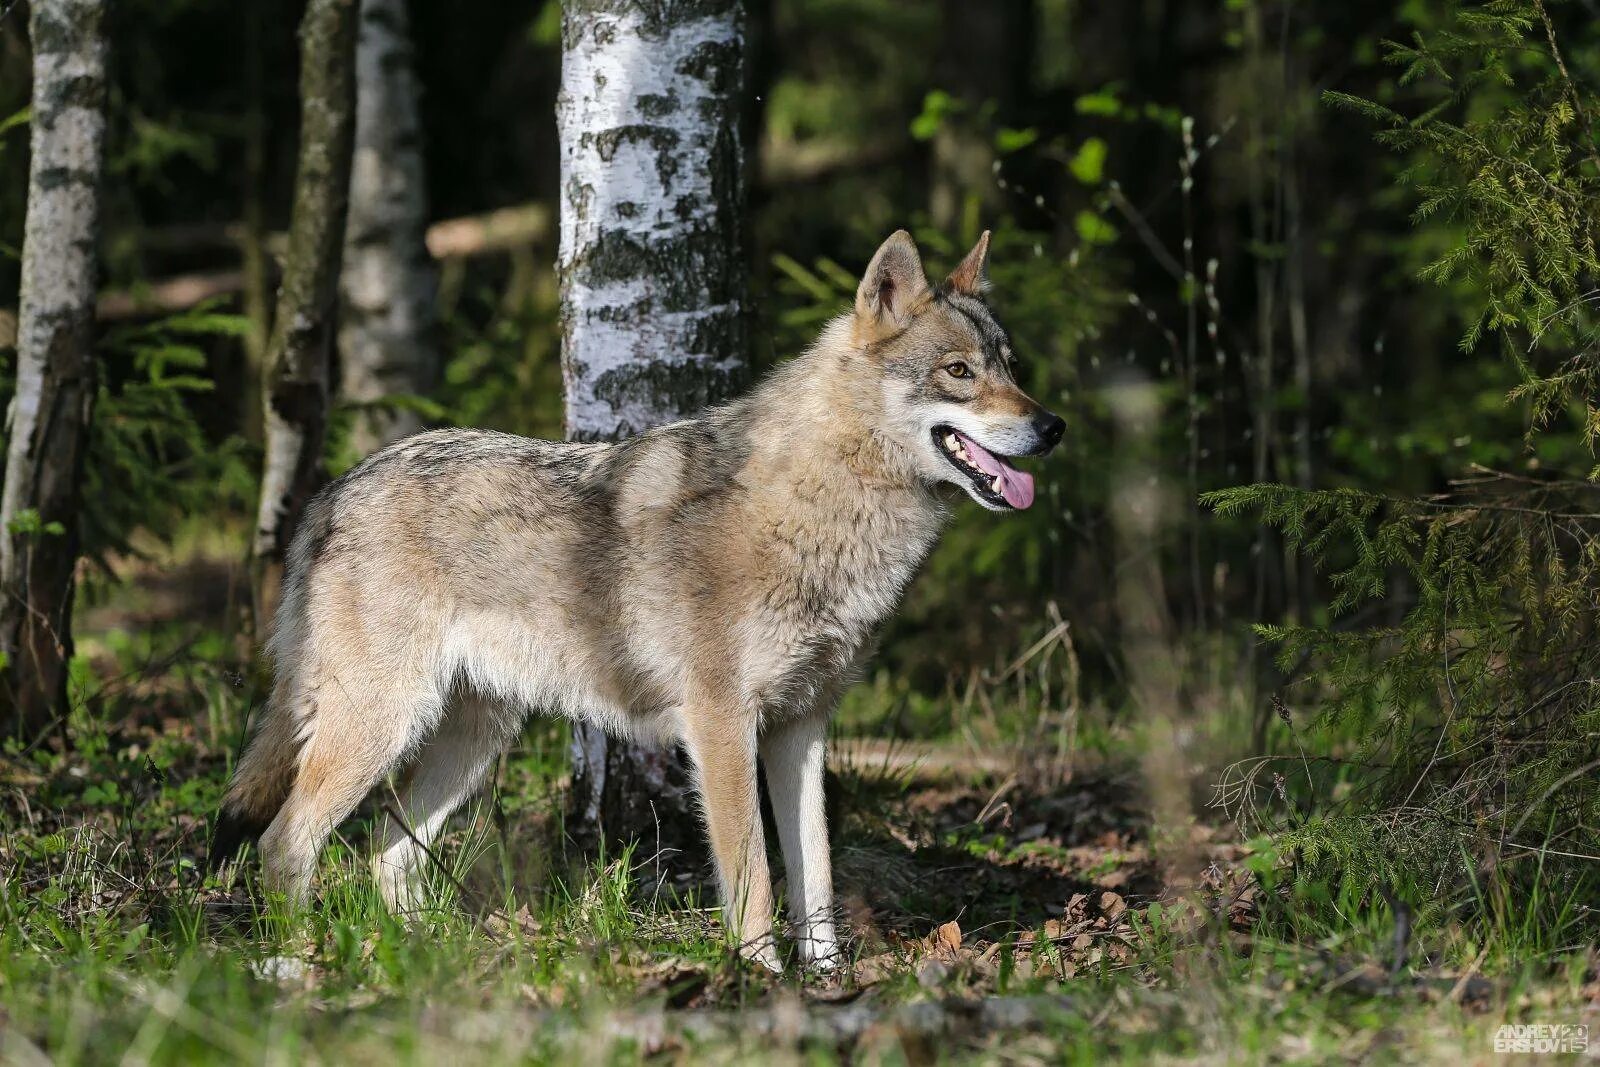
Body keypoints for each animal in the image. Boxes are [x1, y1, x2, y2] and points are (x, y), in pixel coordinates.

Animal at [209, 230, 1062, 972]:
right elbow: (753, 878)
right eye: (958, 370)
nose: (1052, 425)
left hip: (469, 741)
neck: (817, 505)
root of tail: (331, 493)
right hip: (384, 725)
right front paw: (762, 981)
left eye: (1010, 365)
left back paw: (424, 965)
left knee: (386, 854)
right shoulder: (720, 725)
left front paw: (824, 981)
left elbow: (813, 875)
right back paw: (301, 964)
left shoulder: (802, 728)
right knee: (285, 842)